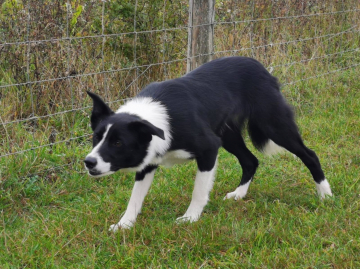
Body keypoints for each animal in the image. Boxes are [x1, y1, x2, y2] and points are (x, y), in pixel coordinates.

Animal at [83, 56, 332, 230]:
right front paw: (124, 225)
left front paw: (189, 218)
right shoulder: (149, 161)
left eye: (118, 143)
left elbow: (199, 191)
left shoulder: (208, 150)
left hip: (274, 125)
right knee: (250, 161)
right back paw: (239, 195)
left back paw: (325, 195)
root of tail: (261, 68)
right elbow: (134, 198)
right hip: (229, 136)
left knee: (309, 155)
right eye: (96, 137)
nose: (89, 162)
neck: (159, 119)